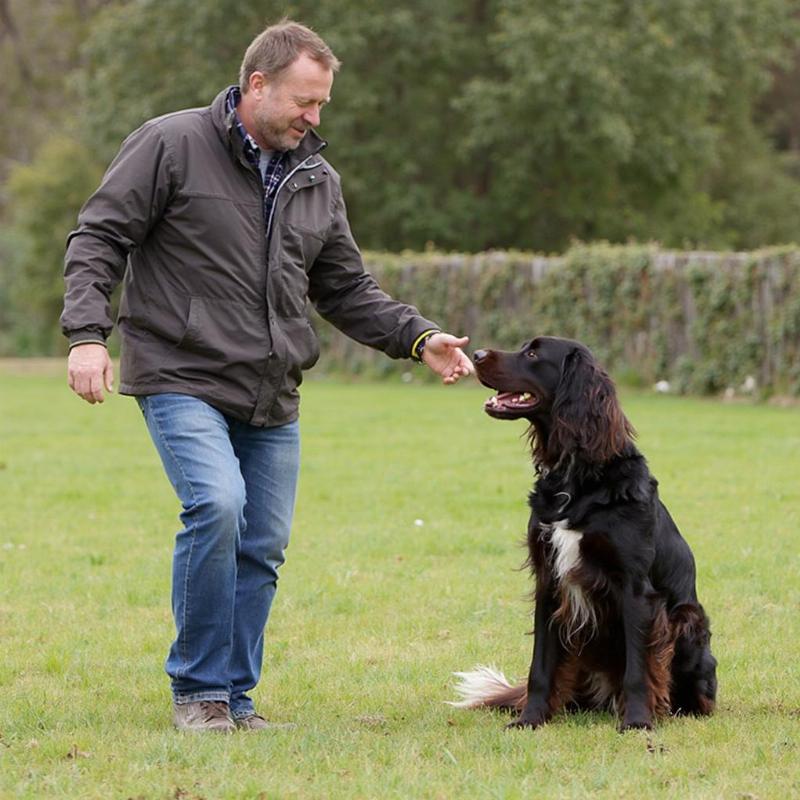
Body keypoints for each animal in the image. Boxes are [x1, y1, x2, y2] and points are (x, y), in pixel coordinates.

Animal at [450, 338, 720, 732]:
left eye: (533, 353)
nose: (477, 355)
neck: (577, 479)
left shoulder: (636, 589)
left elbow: (639, 668)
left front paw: (637, 721)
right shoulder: (548, 581)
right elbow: (540, 667)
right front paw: (530, 718)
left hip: (687, 621)